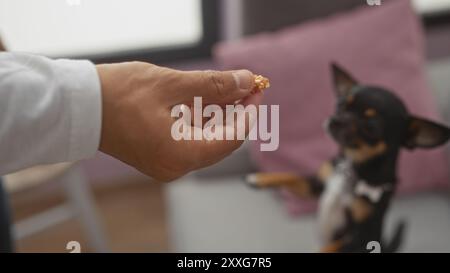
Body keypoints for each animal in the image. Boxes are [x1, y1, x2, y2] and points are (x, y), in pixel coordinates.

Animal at [246, 62, 450, 252]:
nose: (335, 120)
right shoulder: (317, 186)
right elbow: (292, 176)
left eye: (371, 127)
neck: (351, 167)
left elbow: (327, 248)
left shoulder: (358, 239)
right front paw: (260, 178)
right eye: (341, 105)